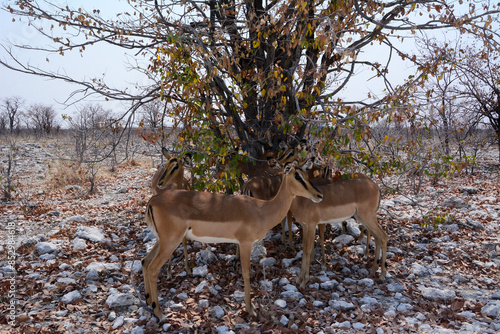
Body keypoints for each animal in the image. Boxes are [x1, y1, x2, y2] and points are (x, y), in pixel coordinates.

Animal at [141, 162, 322, 320]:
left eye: (306, 174)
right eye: (297, 176)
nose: (319, 195)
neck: (262, 210)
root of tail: (152, 201)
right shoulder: (245, 243)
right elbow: (246, 274)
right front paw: (251, 309)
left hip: (162, 241)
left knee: (145, 261)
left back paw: (149, 303)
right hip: (170, 242)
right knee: (153, 269)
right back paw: (159, 314)